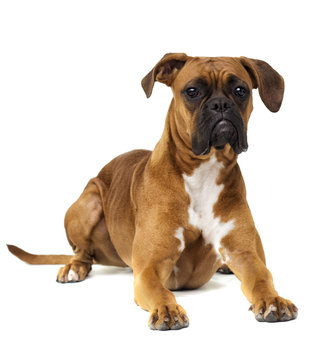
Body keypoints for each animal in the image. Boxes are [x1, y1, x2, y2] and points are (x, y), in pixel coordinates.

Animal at [7, 52, 298, 330]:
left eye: (240, 90)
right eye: (192, 91)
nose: (220, 105)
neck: (203, 170)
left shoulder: (245, 255)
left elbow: (261, 278)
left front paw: (273, 300)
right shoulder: (149, 268)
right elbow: (160, 291)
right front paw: (167, 309)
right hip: (87, 203)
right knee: (82, 252)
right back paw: (73, 268)